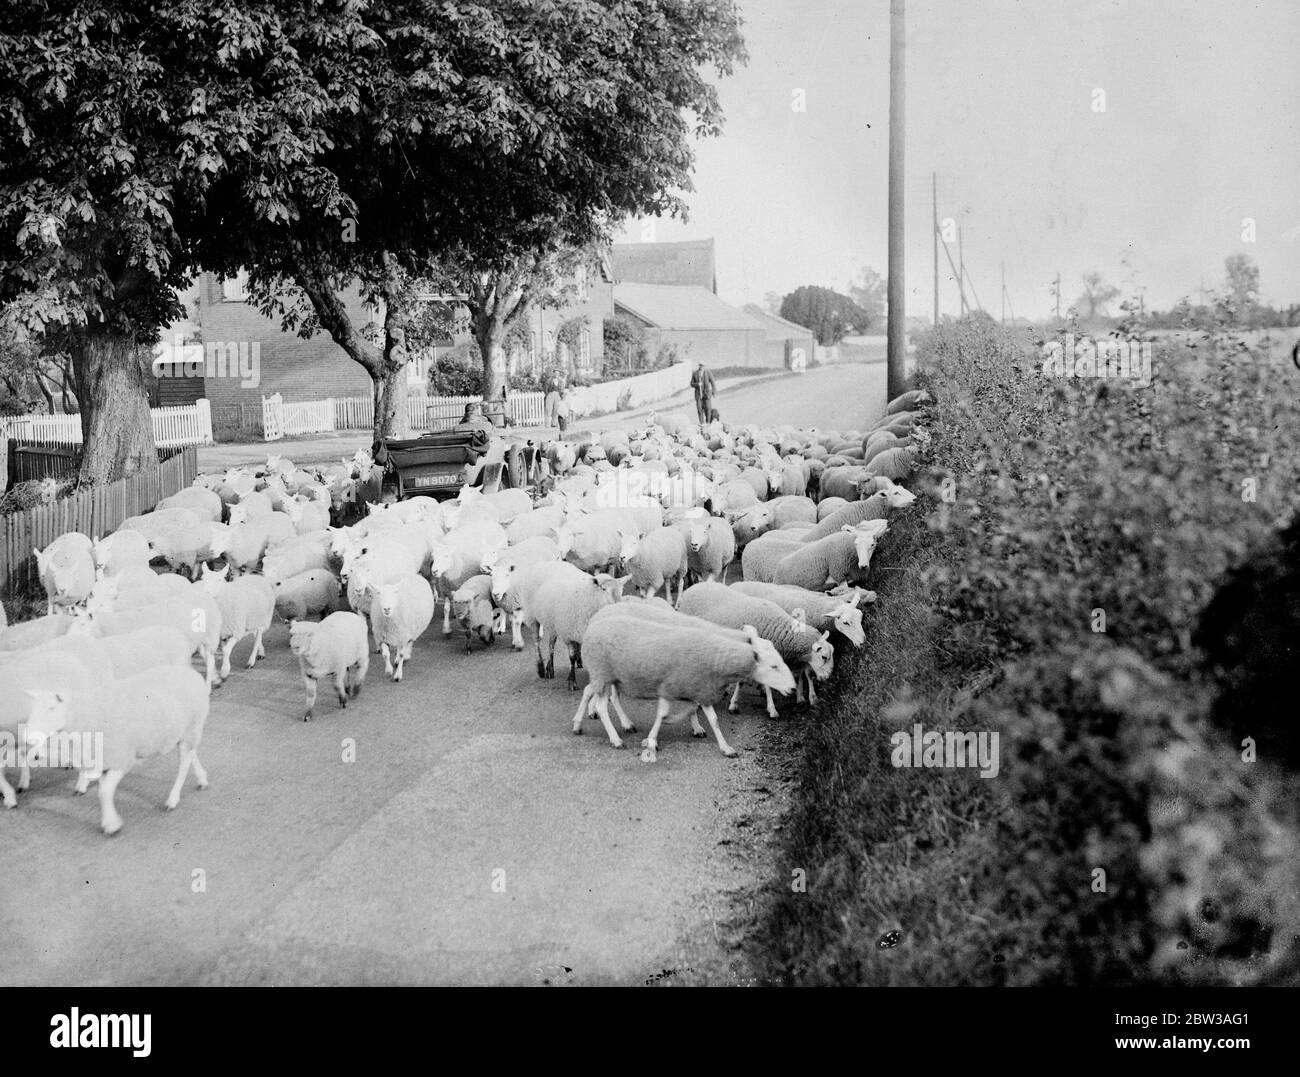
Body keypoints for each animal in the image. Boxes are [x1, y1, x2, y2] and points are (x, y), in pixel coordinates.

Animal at [23, 671, 210, 837]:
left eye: (51, 708)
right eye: (32, 710)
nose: (28, 737)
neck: (87, 716)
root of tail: (193, 673)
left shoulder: (121, 759)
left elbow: (105, 792)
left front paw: (111, 825)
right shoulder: (102, 761)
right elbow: (102, 791)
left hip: (192, 728)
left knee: (184, 765)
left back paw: (172, 799)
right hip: (184, 733)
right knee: (192, 755)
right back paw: (202, 779)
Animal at [577, 613, 790, 759]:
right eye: (773, 665)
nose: (792, 688)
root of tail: (593, 624)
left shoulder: (698, 687)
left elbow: (710, 717)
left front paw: (722, 745)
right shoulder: (673, 685)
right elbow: (667, 713)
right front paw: (654, 739)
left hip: (610, 676)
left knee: (591, 692)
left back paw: (580, 724)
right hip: (603, 672)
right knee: (603, 703)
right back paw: (615, 736)